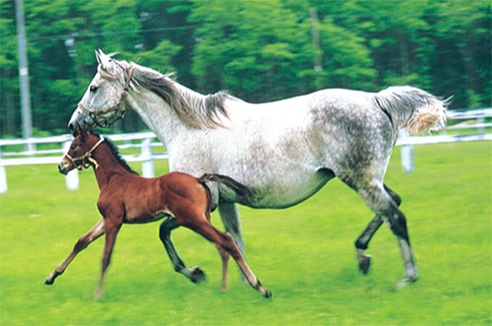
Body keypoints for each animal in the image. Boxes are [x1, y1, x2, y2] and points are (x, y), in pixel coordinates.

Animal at [44, 124, 270, 298]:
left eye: (74, 146)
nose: (61, 166)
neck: (113, 179)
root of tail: (198, 179)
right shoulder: (105, 219)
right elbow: (81, 241)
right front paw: (51, 277)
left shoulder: (114, 221)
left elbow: (106, 256)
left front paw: (98, 294)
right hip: (201, 219)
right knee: (221, 244)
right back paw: (224, 287)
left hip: (193, 220)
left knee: (226, 239)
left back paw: (260, 287)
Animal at [67, 49, 448, 290]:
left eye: (94, 87)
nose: (73, 124)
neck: (187, 128)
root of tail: (376, 100)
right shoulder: (223, 202)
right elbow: (234, 239)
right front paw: (242, 283)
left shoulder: (193, 207)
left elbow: (166, 233)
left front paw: (197, 274)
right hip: (367, 179)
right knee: (392, 205)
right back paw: (363, 256)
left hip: (361, 181)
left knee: (395, 216)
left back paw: (407, 277)